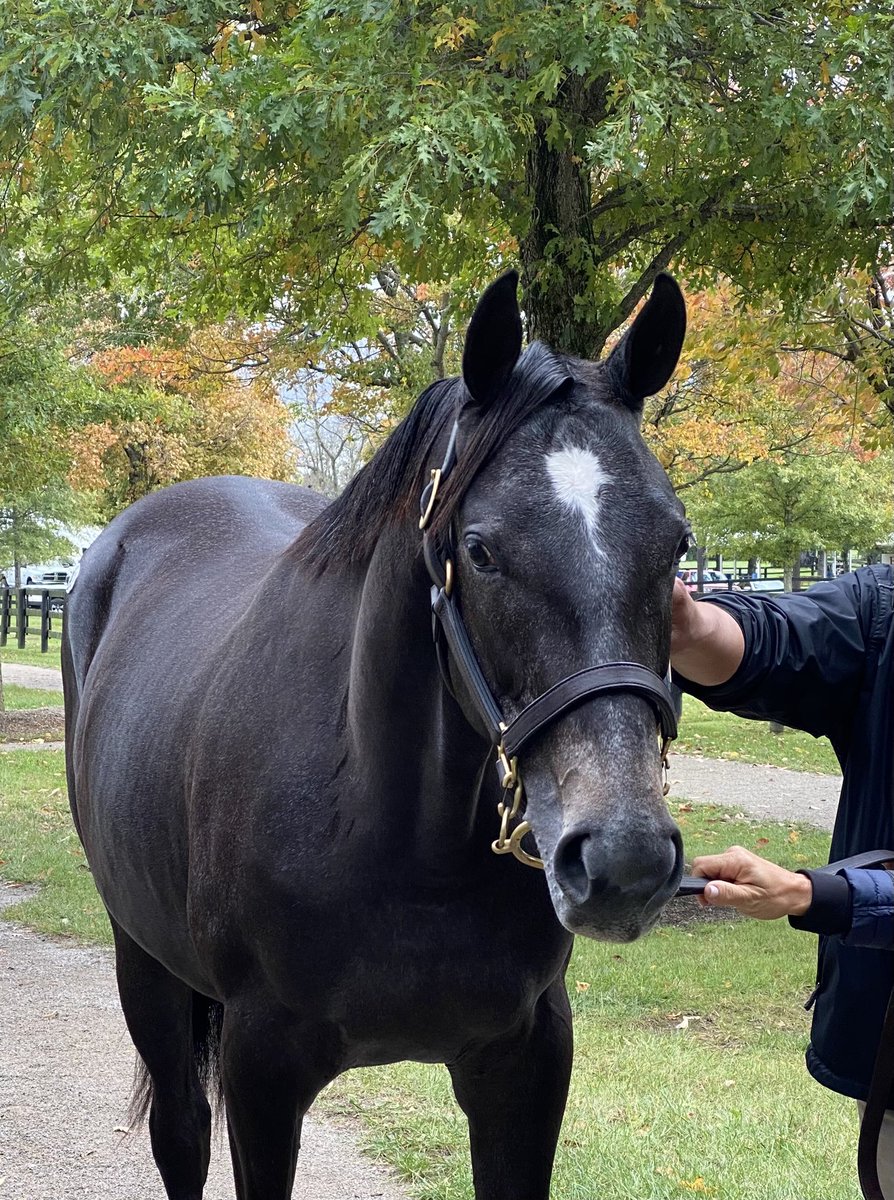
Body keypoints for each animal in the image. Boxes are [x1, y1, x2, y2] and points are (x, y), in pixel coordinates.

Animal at [64, 272, 691, 1200]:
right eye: (481, 550)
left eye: (678, 540)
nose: (625, 861)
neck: (390, 831)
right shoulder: (260, 1074)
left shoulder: (527, 1064)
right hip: (143, 964)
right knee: (180, 1133)